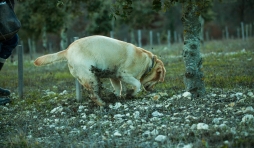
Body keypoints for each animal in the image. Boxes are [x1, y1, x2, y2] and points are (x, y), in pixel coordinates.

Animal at [34, 35, 166, 106]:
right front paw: (131, 94)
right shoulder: (124, 74)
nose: (153, 90)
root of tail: (67, 50)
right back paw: (102, 104)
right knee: (93, 95)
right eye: (159, 80)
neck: (149, 63)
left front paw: (118, 97)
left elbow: (118, 88)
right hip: (90, 77)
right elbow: (137, 84)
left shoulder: (114, 77)